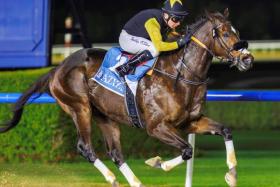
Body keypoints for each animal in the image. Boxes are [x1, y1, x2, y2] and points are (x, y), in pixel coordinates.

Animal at [0, 9, 254, 186]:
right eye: (224, 33)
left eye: (237, 32)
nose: (248, 59)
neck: (180, 75)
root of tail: (56, 69)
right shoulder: (156, 127)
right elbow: (186, 151)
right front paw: (157, 162)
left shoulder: (190, 121)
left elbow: (225, 130)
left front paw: (232, 173)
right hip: (80, 108)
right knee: (85, 147)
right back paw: (112, 178)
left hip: (106, 116)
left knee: (115, 152)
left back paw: (134, 182)